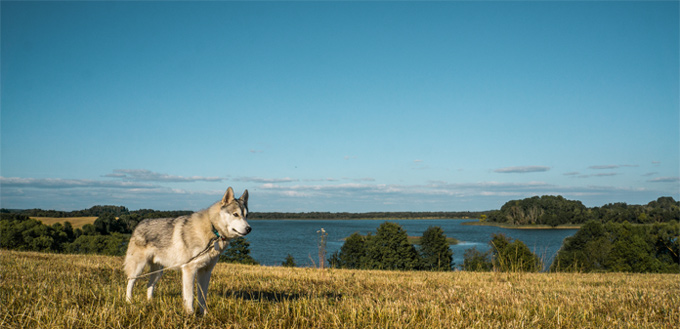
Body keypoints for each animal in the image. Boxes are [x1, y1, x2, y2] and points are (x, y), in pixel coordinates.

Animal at [123, 187, 251, 312]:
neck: (213, 229)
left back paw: (150, 302)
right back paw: (129, 302)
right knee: (130, 283)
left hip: (158, 272)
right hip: (138, 269)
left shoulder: (205, 272)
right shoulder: (189, 270)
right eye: (235, 214)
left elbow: (202, 297)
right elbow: (190, 297)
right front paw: (190, 315)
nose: (249, 229)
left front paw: (205, 315)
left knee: (149, 285)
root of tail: (140, 223)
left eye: (246, 216)